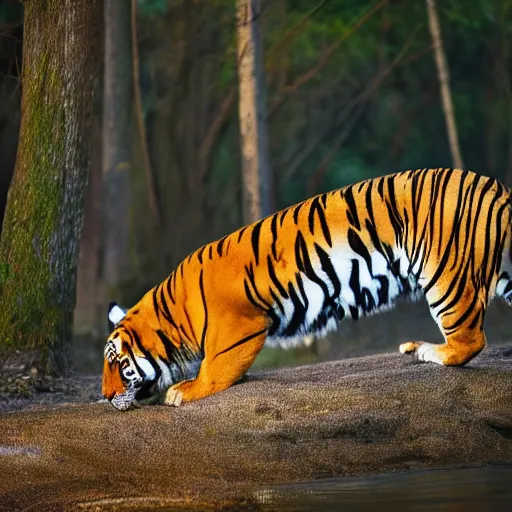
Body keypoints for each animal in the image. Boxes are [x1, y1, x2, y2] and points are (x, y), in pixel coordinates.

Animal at [102, 169, 512, 412]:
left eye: (119, 365)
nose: (104, 396)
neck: (173, 314)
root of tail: (499, 189)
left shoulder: (239, 328)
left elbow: (214, 367)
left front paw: (182, 391)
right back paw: (415, 346)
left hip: (445, 274)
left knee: (470, 340)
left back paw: (431, 352)